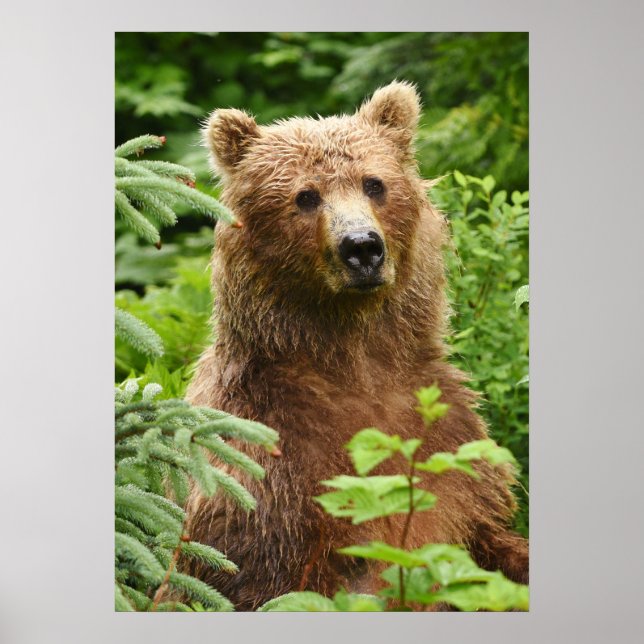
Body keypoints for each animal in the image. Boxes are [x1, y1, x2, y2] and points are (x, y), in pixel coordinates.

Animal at [183, 81, 529, 611]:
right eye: (305, 196)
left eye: (374, 184)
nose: (362, 247)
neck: (356, 357)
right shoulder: (266, 464)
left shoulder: (449, 447)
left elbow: (481, 537)